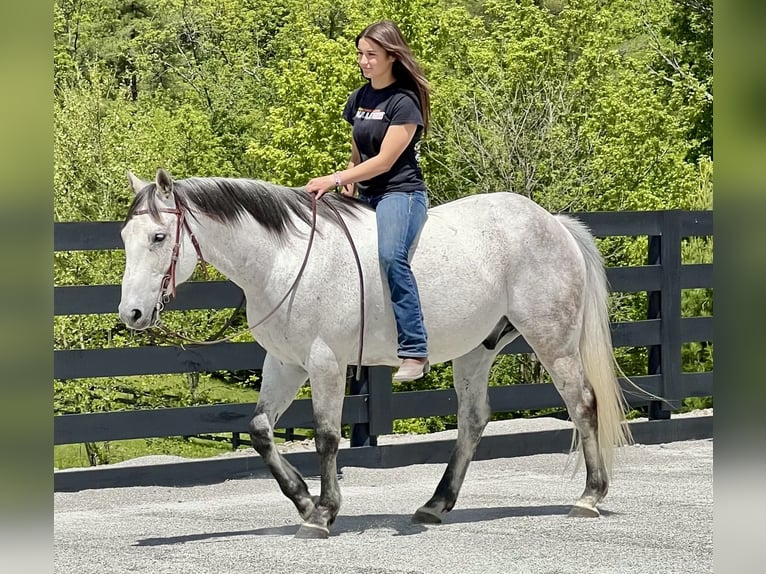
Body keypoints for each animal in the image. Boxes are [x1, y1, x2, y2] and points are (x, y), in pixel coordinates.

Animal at [118, 168, 632, 539]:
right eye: (125, 237)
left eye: (159, 238)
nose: (132, 312)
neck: (285, 261)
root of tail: (553, 223)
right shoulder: (284, 364)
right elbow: (261, 430)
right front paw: (302, 499)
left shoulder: (326, 363)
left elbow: (327, 437)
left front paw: (322, 513)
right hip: (476, 350)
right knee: (473, 420)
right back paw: (435, 504)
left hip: (553, 341)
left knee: (583, 403)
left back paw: (590, 496)